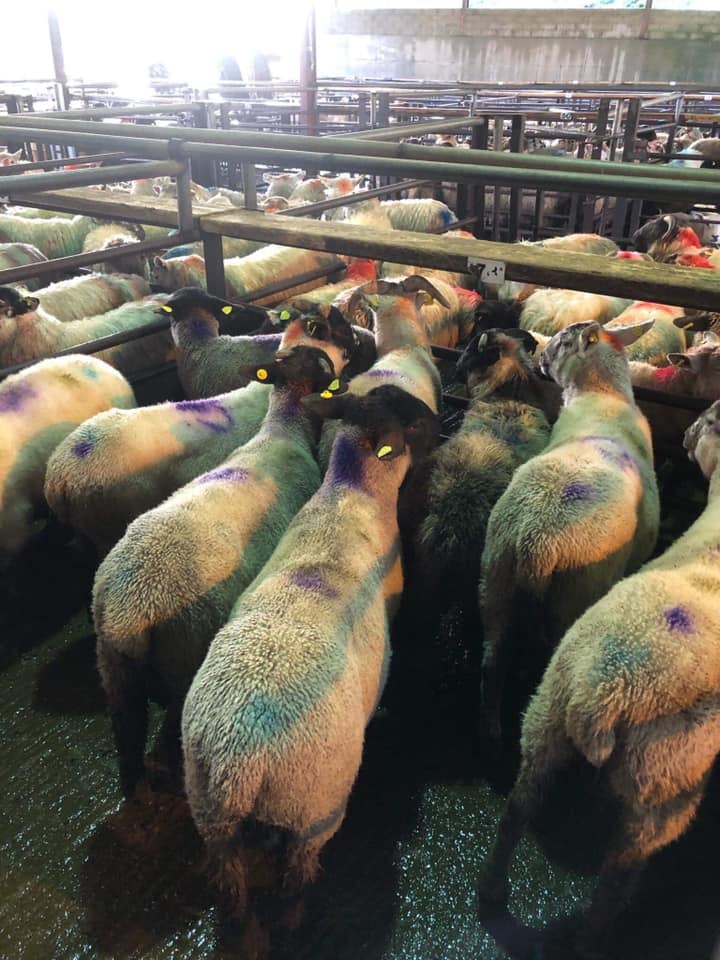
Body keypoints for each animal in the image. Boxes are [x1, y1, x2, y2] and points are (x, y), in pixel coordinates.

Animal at [93, 344, 345, 798]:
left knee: (128, 742)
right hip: (182, 654)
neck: (284, 430)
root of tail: (125, 611)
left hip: (114, 674)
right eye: (323, 367)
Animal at [181, 382, 439, 923]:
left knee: (231, 883)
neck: (349, 494)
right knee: (296, 874)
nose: (443, 424)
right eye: (415, 424)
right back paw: (298, 913)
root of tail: (241, 764)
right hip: (313, 808)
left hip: (211, 817)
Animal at [477, 398, 720, 959]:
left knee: (516, 803)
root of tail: (608, 693)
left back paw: (494, 885)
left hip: (539, 695)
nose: (686, 435)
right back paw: (595, 937)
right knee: (616, 878)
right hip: (663, 786)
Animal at [479, 319, 660, 741]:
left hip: (495, 575)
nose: (540, 356)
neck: (603, 397)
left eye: (561, 342)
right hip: (575, 592)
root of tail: (535, 543)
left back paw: (491, 725)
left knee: (492, 660)